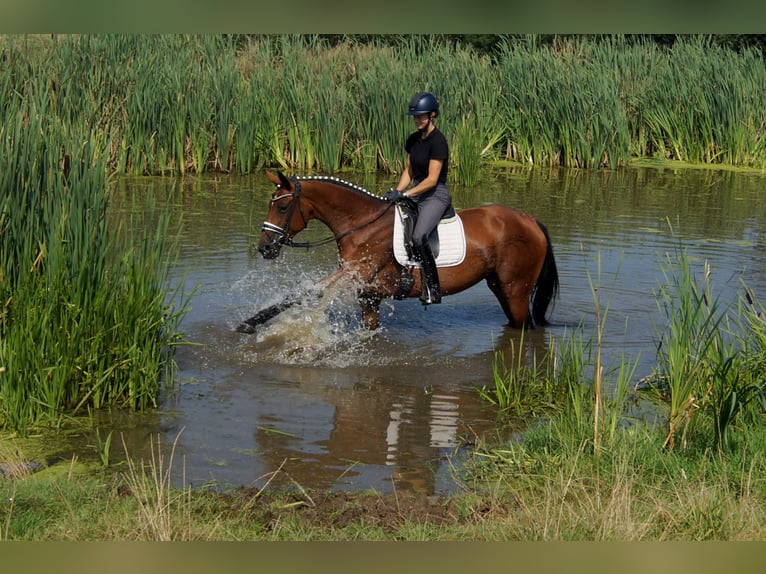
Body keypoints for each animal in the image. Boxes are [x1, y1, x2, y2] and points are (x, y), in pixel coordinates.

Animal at [238, 171, 560, 332]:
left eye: (282, 207)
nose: (265, 247)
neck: (361, 225)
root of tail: (530, 220)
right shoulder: (367, 294)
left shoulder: (354, 273)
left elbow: (306, 292)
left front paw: (249, 324)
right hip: (500, 286)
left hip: (515, 289)